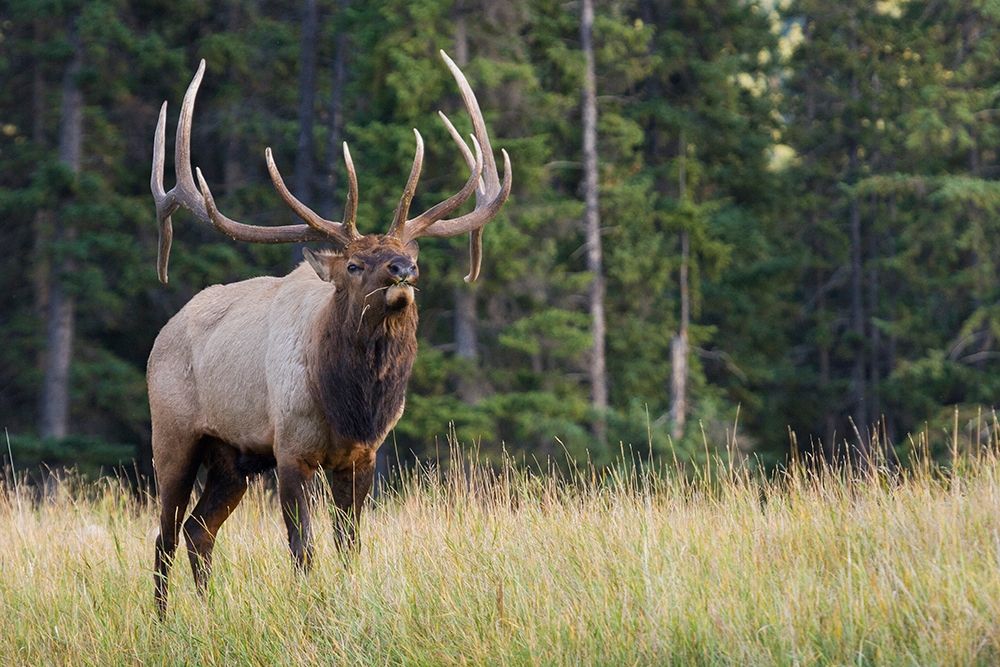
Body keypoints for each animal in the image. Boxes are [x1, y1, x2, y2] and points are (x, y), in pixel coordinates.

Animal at [146, 51, 508, 616]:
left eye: (411, 254)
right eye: (355, 265)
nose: (404, 271)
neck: (349, 403)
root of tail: (163, 332)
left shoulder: (362, 456)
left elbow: (349, 545)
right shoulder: (292, 450)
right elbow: (303, 548)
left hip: (232, 457)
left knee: (198, 530)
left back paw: (206, 611)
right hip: (175, 434)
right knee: (164, 534)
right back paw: (165, 621)